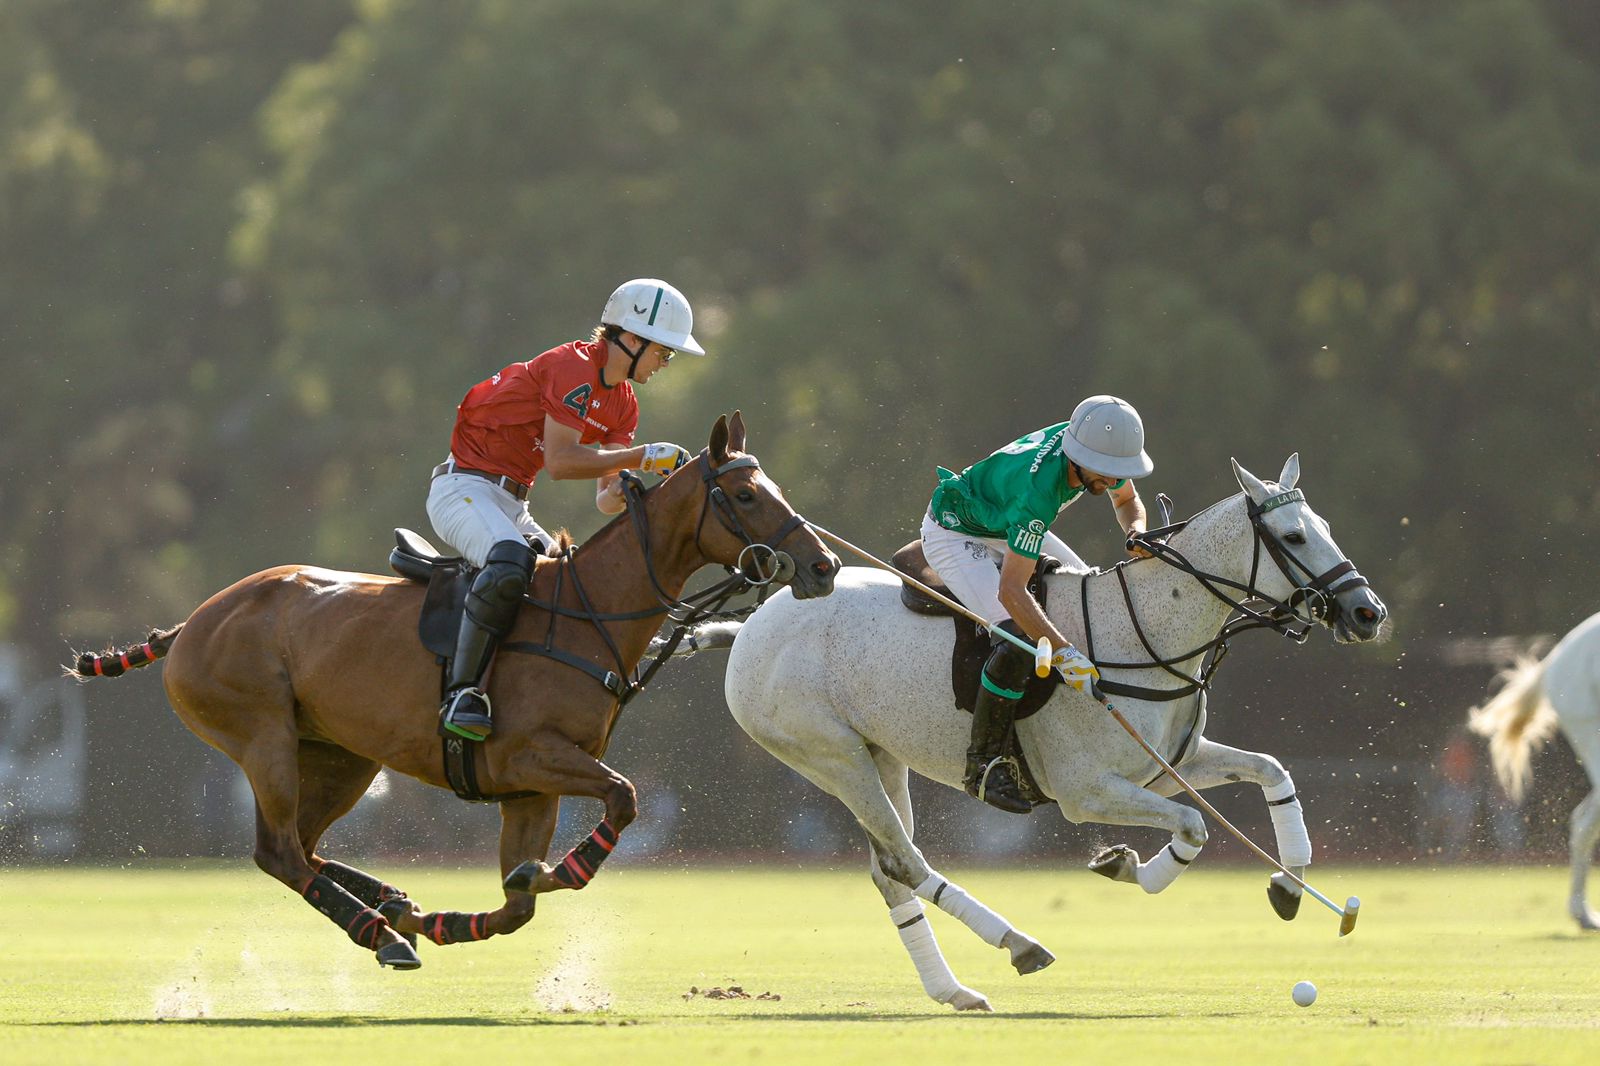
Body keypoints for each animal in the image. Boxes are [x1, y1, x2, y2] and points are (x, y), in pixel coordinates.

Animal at [75, 412, 838, 960]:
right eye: (745, 494)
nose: (823, 566)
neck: (589, 609)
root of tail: (191, 623)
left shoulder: (531, 788)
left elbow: (520, 903)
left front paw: (455, 915)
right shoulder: (530, 755)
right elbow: (622, 798)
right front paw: (555, 872)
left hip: (341, 755)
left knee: (301, 848)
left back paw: (397, 906)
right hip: (263, 739)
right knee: (280, 852)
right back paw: (380, 932)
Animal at [707, 451, 1382, 1011]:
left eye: (1322, 525)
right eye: (1293, 536)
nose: (1366, 612)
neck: (1145, 634)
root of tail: (750, 626)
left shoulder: (1164, 769)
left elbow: (1272, 770)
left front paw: (1289, 886)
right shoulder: (1088, 792)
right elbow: (1194, 826)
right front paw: (1127, 865)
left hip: (881, 753)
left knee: (888, 870)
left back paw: (954, 991)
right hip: (831, 754)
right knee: (903, 859)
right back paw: (1019, 945)